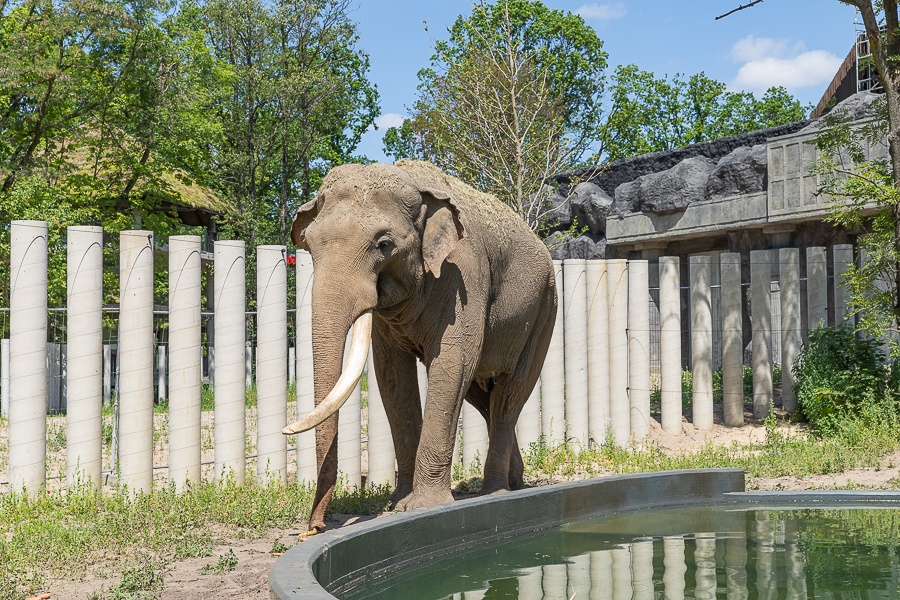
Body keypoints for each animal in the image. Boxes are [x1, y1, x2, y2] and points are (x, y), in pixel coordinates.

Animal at [284, 158, 560, 528]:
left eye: (384, 244)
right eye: (310, 245)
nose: (315, 527)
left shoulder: (462, 275)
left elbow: (453, 362)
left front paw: (424, 506)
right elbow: (391, 376)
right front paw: (399, 502)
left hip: (544, 311)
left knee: (508, 394)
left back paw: (496, 491)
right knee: (482, 395)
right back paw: (514, 482)